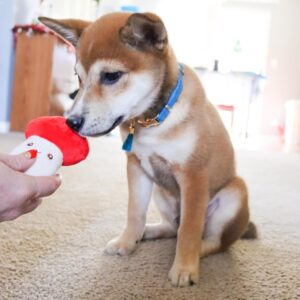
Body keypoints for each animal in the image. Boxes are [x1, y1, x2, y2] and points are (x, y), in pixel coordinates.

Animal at [39, 12, 255, 288]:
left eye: (111, 76)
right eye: (79, 76)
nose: (71, 122)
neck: (153, 121)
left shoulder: (194, 174)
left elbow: (189, 229)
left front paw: (184, 268)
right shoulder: (137, 166)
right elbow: (135, 212)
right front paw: (127, 242)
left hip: (234, 193)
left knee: (214, 241)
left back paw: (197, 250)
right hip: (162, 192)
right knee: (172, 228)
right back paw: (149, 232)